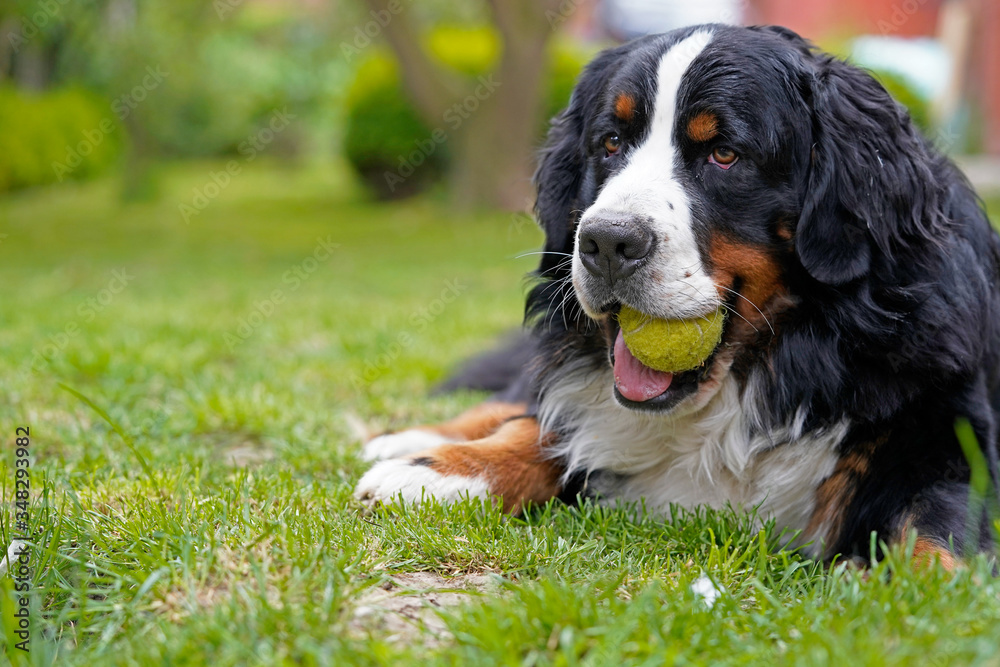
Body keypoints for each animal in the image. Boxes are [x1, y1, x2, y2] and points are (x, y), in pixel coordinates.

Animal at [356, 26, 996, 568]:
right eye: (610, 143)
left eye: (724, 154)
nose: (607, 241)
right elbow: (543, 427)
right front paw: (440, 472)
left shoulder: (944, 423)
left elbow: (935, 528)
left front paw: (932, 601)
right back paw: (407, 438)